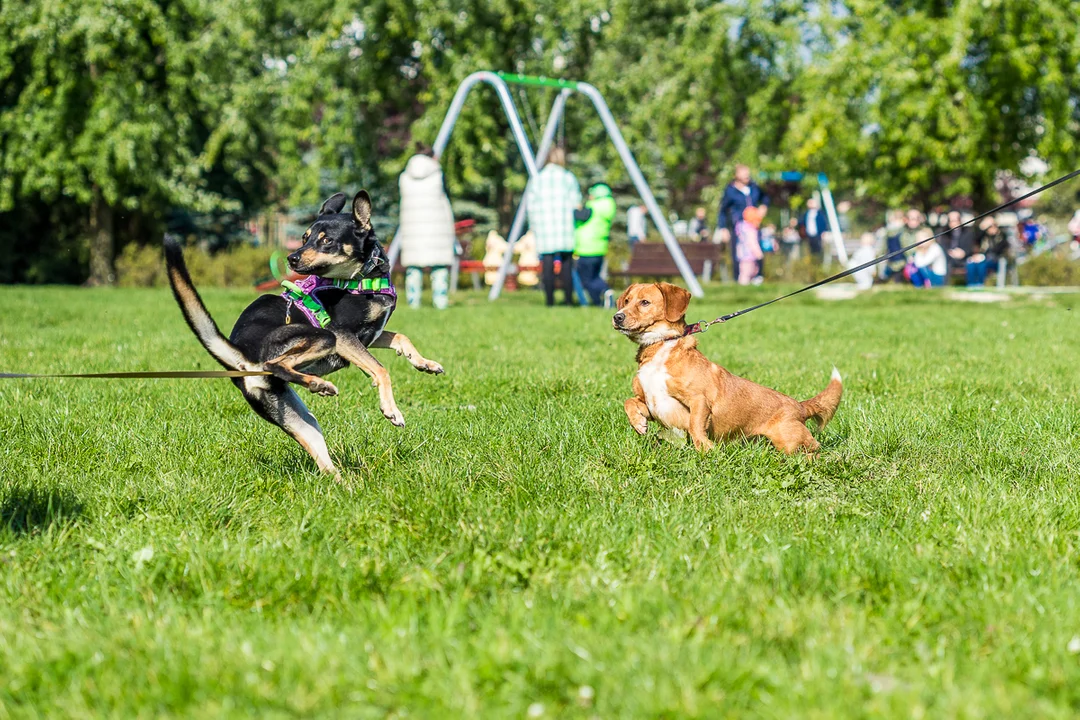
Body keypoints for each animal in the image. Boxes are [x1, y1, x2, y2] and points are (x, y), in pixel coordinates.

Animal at [164, 193, 442, 483]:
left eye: (326, 240)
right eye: (304, 237)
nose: (292, 258)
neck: (361, 278)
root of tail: (241, 358)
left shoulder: (370, 335)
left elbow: (401, 337)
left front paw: (425, 364)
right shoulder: (342, 334)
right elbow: (381, 370)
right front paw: (391, 409)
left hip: (300, 419)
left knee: (325, 466)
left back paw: (346, 485)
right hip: (322, 337)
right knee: (277, 364)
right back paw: (319, 385)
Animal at [613, 280, 838, 451]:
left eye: (645, 302)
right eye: (626, 301)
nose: (617, 317)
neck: (660, 346)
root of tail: (799, 406)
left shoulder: (698, 400)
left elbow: (695, 425)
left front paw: (705, 449)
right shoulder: (652, 404)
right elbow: (629, 402)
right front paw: (638, 424)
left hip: (789, 441)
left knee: (814, 449)